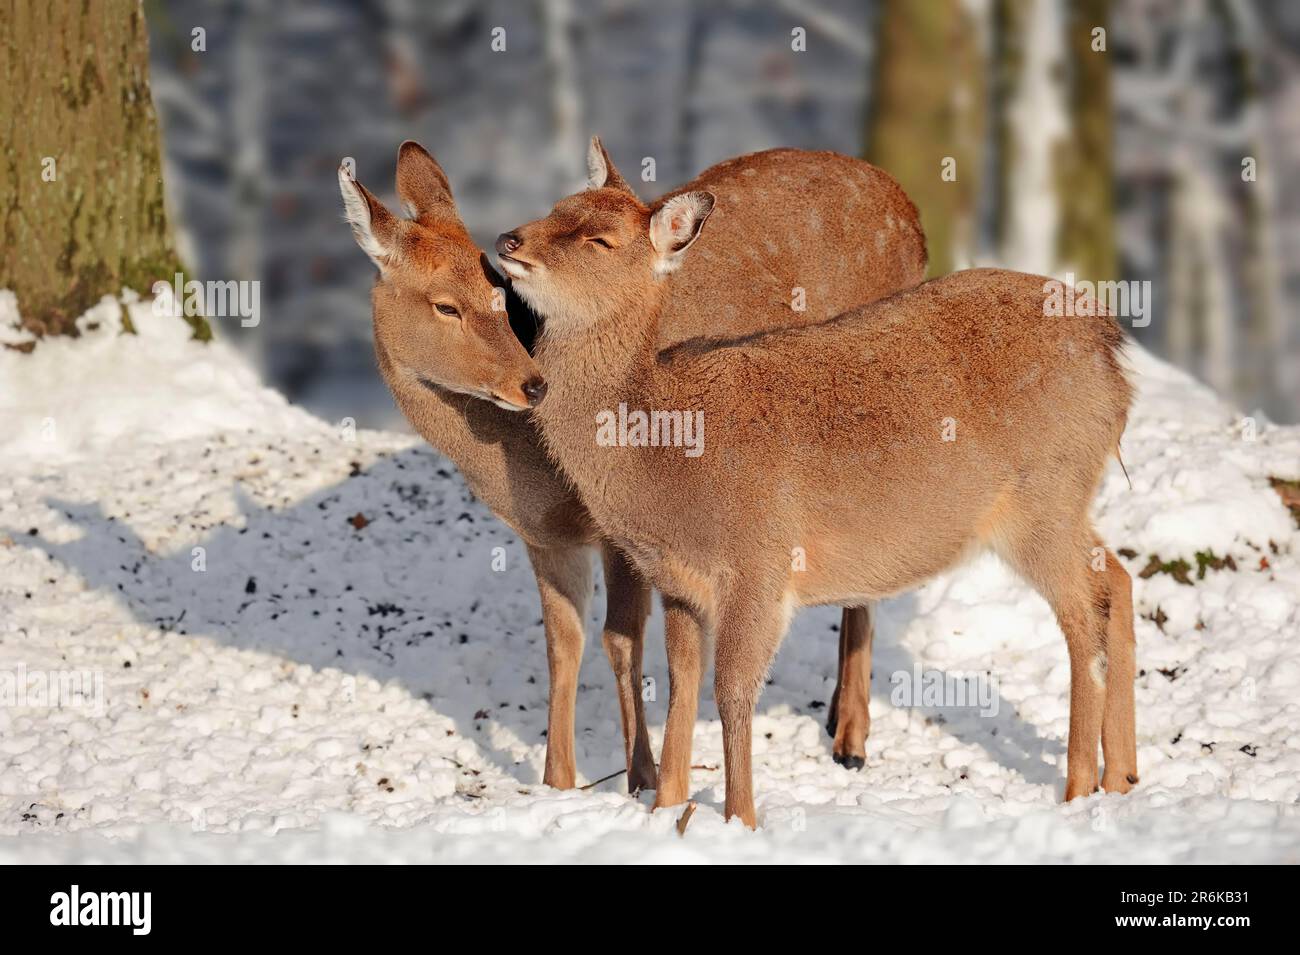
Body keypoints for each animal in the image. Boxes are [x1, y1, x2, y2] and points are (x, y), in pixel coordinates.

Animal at [339, 138, 927, 798]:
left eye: (494, 292)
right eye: (445, 305)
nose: (530, 384)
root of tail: (906, 203)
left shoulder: (623, 531)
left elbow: (620, 639)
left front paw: (641, 777)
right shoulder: (544, 537)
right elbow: (563, 644)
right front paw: (559, 781)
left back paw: (851, 738)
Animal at [498, 181, 1139, 828]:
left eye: (600, 240)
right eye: (557, 208)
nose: (509, 240)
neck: (664, 459)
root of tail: (1112, 354)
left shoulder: (759, 565)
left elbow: (732, 691)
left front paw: (740, 818)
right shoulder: (679, 583)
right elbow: (682, 681)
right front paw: (668, 805)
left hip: (1043, 498)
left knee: (1084, 615)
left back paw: (1078, 785)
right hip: (1063, 501)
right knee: (1117, 577)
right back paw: (1123, 776)